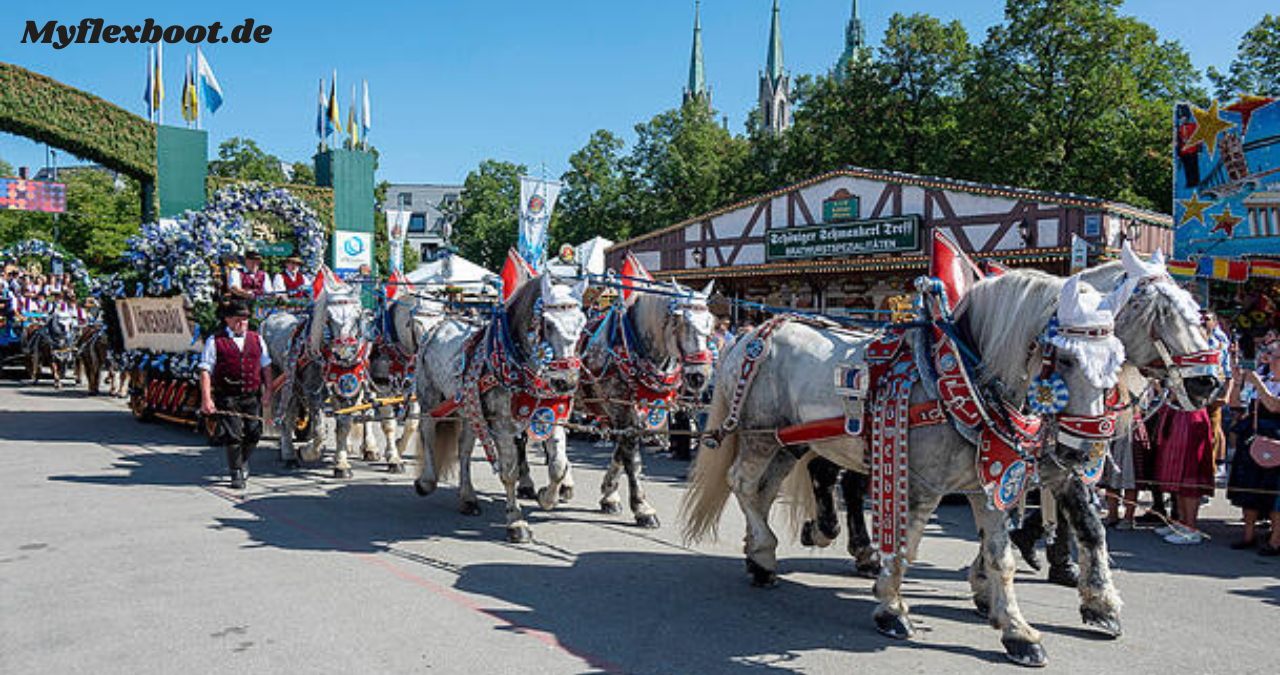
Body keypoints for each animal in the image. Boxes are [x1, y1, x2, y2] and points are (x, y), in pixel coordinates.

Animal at [412, 274, 586, 543]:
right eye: (548, 324)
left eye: (583, 325)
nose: (564, 382)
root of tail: (438, 325)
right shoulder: (503, 426)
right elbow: (509, 472)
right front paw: (516, 522)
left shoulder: (550, 418)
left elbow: (558, 465)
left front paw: (546, 497)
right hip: (430, 398)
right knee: (428, 431)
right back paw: (427, 482)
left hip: (470, 410)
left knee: (464, 450)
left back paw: (468, 497)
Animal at [686, 271, 1126, 666]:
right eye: (1066, 357)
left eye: (1116, 363)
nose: (1083, 453)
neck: (961, 381)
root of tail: (752, 335)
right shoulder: (922, 485)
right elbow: (902, 547)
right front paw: (892, 609)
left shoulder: (991, 485)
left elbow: (1002, 559)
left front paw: (1018, 632)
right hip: (760, 436)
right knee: (742, 483)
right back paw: (762, 552)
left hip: (788, 444)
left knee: (763, 491)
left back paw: (758, 557)